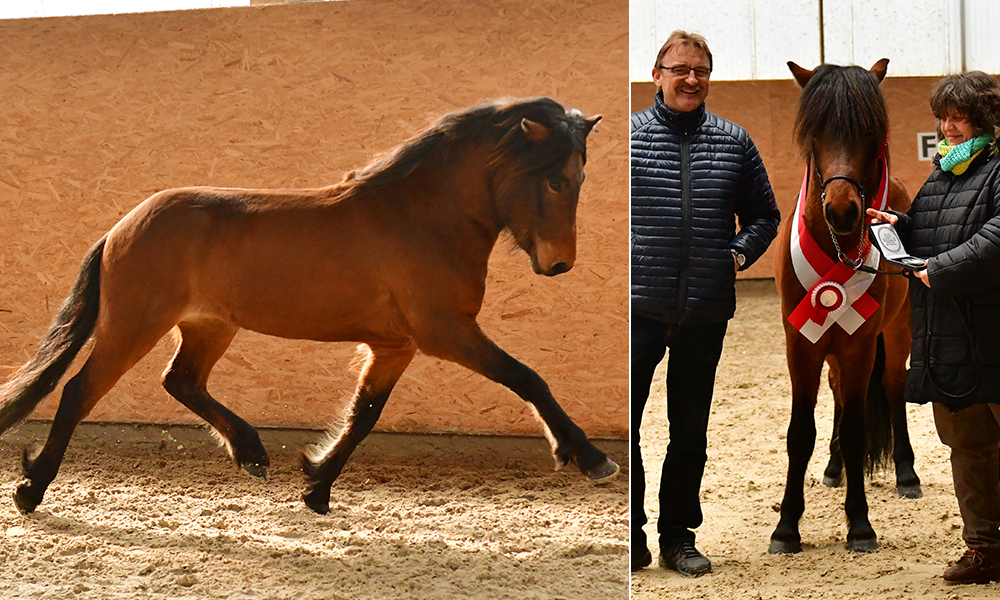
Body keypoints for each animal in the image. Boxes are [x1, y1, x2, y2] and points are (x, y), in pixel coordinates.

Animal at [0, 97, 616, 516]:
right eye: (557, 180)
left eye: (580, 177)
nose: (560, 263)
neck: (423, 217)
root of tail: (121, 227)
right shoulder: (446, 332)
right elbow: (527, 377)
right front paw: (588, 458)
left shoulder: (396, 346)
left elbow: (364, 415)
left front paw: (317, 484)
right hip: (134, 324)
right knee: (79, 391)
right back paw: (31, 489)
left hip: (208, 327)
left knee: (182, 381)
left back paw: (251, 453)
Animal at [772, 59, 920, 552]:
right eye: (815, 132)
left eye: (870, 132)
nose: (842, 210)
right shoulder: (801, 343)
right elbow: (801, 433)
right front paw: (786, 528)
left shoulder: (859, 345)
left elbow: (857, 429)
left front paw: (859, 524)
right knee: (837, 395)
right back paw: (834, 468)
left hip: (896, 332)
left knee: (893, 387)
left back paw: (907, 473)